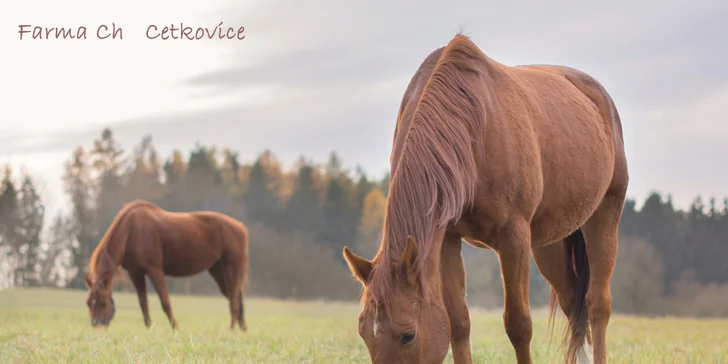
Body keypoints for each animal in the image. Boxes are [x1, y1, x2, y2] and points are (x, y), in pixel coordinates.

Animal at [83, 200, 250, 332]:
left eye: (104, 302)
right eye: (88, 303)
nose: (96, 325)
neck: (131, 231)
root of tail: (241, 228)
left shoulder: (154, 270)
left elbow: (165, 302)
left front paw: (175, 328)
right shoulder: (135, 273)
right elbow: (143, 303)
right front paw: (149, 328)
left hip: (231, 268)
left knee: (234, 298)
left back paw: (232, 329)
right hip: (217, 270)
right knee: (235, 297)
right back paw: (241, 329)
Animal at [344, 33, 628, 364]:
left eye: (408, 335)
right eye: (364, 333)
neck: (469, 129)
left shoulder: (514, 238)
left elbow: (519, 325)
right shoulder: (446, 238)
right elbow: (457, 323)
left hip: (604, 216)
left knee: (597, 304)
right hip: (550, 243)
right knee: (573, 304)